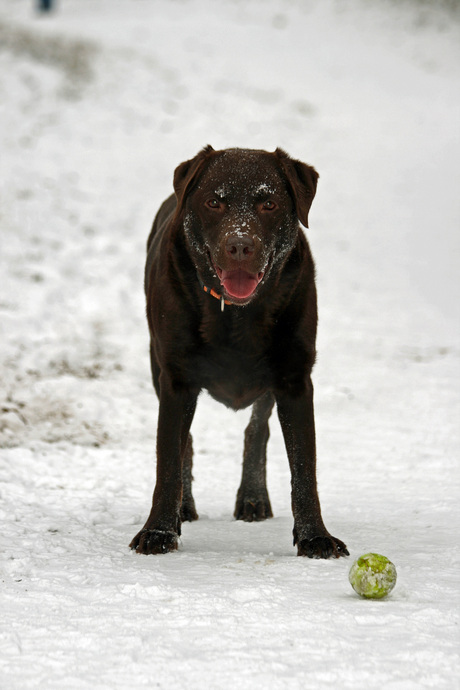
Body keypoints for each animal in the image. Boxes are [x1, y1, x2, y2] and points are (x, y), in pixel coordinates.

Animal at [128, 146, 344, 560]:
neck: (236, 315)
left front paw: (314, 537)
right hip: (156, 365)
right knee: (186, 444)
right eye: (214, 202)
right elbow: (168, 461)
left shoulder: (294, 380)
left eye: (269, 203)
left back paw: (253, 498)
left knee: (257, 430)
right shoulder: (176, 380)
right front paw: (159, 531)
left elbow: (304, 469)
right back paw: (183, 507)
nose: (240, 246)